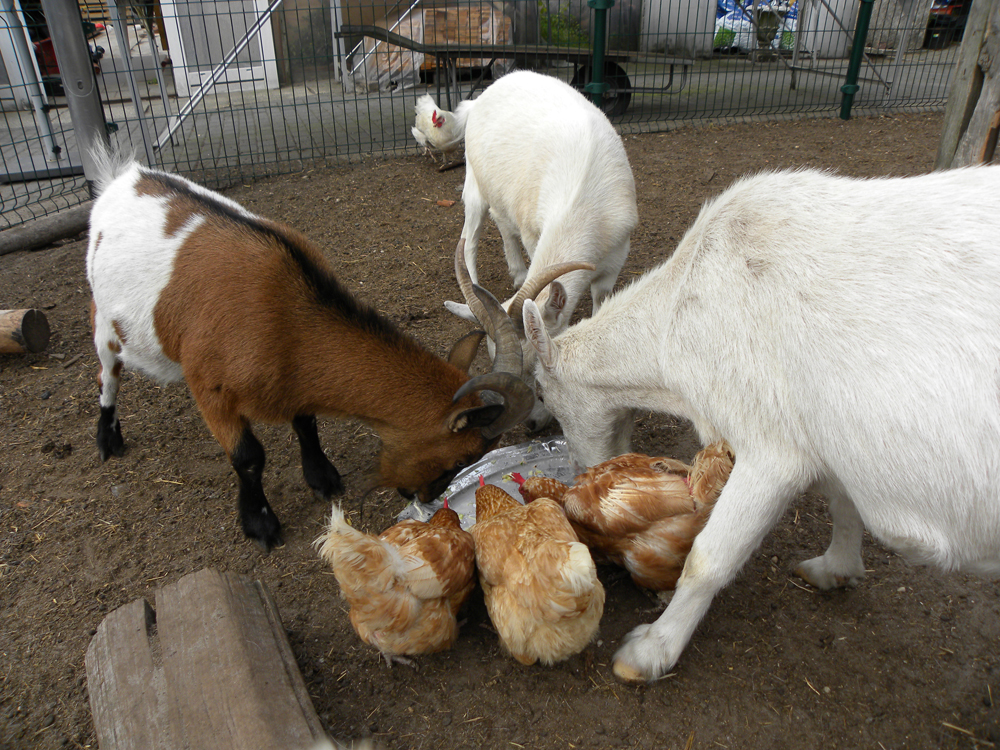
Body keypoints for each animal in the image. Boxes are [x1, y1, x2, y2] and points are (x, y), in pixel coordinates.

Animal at [86, 145, 535, 551]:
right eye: (460, 459)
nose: (421, 495)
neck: (283, 314)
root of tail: (122, 180)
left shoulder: (292, 380)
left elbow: (306, 423)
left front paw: (323, 479)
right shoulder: (210, 389)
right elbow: (248, 457)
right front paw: (261, 525)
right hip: (104, 318)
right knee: (108, 371)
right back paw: (108, 439)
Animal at [440, 70, 638, 430]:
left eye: (538, 365)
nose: (532, 424)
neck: (583, 202)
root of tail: (479, 98)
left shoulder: (618, 253)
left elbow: (601, 299)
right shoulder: (535, 232)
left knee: (502, 223)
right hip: (475, 183)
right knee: (472, 235)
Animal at [521, 166, 1000, 682]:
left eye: (542, 390)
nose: (583, 473)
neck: (678, 321)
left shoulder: (771, 449)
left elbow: (707, 558)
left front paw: (647, 652)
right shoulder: (823, 435)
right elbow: (842, 499)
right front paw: (835, 568)